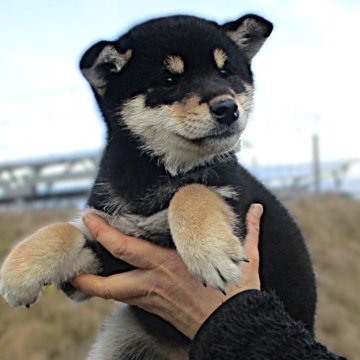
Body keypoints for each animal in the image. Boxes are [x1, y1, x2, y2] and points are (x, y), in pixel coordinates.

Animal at [0, 12, 316, 358]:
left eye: (225, 72)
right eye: (169, 80)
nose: (227, 107)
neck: (157, 172)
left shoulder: (236, 202)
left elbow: (192, 191)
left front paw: (210, 252)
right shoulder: (110, 238)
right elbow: (66, 230)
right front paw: (19, 271)